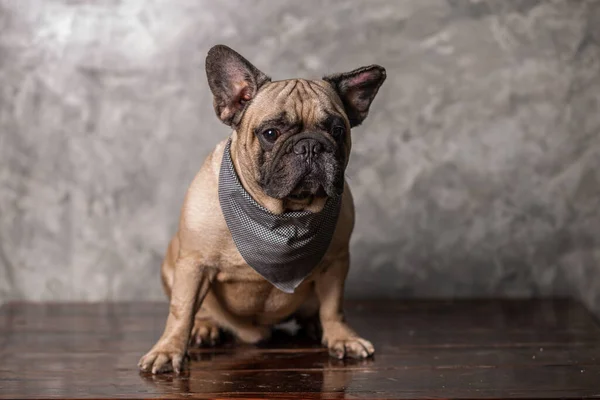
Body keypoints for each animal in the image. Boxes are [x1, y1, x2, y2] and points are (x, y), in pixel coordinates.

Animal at [139, 45, 386, 374]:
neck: (281, 213)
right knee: (199, 310)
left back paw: (316, 326)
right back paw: (204, 327)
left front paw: (342, 338)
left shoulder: (335, 262)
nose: (311, 146)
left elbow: (334, 306)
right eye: (270, 133)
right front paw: (168, 350)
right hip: (172, 263)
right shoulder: (194, 264)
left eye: (337, 130)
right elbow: (182, 309)